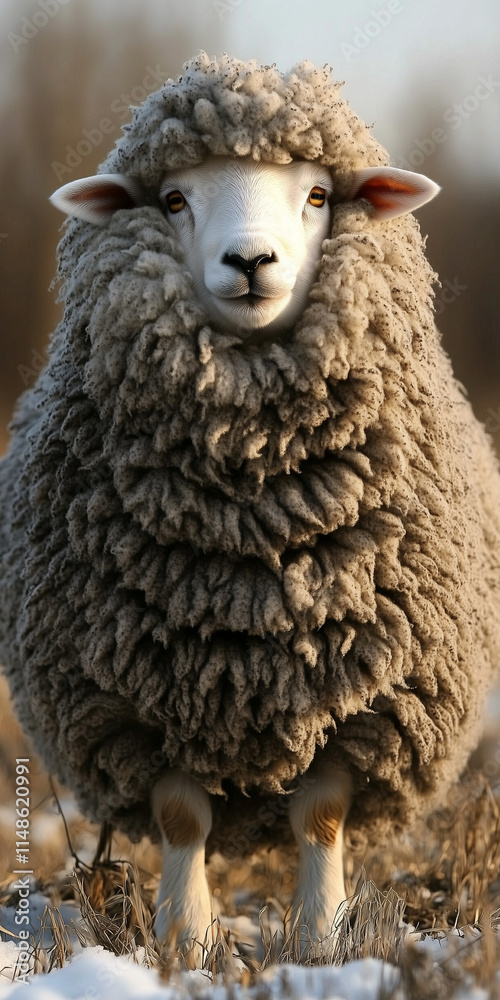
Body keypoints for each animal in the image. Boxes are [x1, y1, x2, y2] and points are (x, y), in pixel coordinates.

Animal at [1, 51, 500, 965]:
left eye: (318, 194)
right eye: (173, 199)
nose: (251, 261)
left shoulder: (360, 696)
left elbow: (322, 817)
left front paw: (319, 941)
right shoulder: (142, 696)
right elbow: (180, 819)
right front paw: (185, 943)